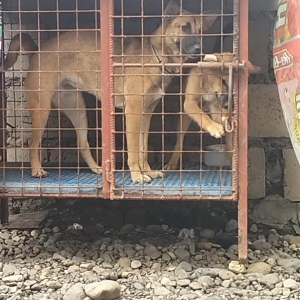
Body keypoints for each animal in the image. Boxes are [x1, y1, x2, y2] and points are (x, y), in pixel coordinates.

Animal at [2, 1, 218, 183]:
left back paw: (97, 168)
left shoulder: (146, 114)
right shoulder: (133, 112)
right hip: (41, 110)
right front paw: (137, 175)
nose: (199, 49)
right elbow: (134, 149)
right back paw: (37, 170)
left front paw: (147, 170)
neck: (156, 57)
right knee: (32, 143)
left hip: (78, 110)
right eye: (184, 28)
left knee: (82, 144)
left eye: (201, 32)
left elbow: (143, 148)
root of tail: (37, 51)